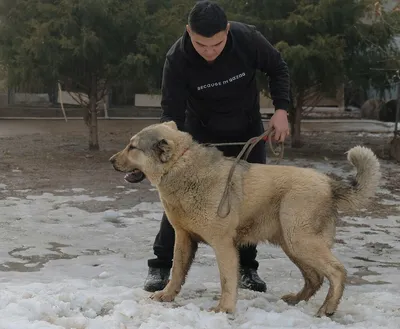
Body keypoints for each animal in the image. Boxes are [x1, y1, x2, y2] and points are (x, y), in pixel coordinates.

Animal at [109, 121, 382, 318]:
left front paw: (224, 310)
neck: (181, 167)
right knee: (314, 277)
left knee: (337, 272)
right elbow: (177, 271)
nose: (111, 161)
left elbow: (227, 280)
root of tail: (329, 184)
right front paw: (166, 295)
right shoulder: (184, 238)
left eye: (132, 147)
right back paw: (295, 300)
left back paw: (327, 309)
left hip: (301, 241)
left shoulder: (223, 245)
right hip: (293, 245)